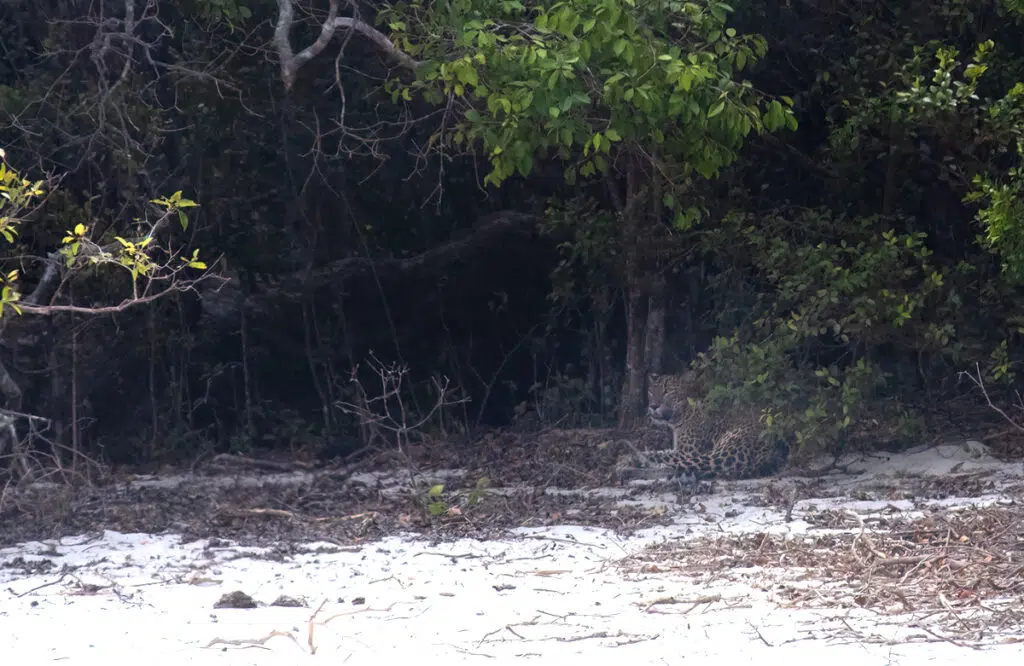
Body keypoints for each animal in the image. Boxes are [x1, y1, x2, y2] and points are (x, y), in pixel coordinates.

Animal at [615, 372, 789, 482]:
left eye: (668, 391)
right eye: (651, 392)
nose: (653, 406)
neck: (681, 415)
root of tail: (773, 446)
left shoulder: (687, 451)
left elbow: (660, 454)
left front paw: (625, 458)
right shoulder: (678, 448)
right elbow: (662, 451)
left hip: (724, 450)